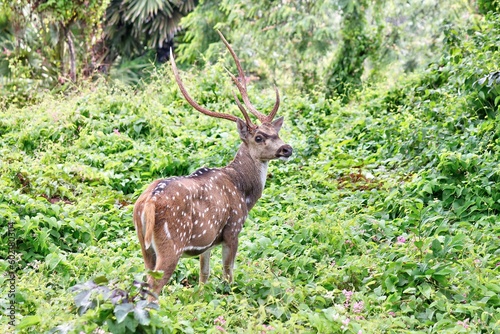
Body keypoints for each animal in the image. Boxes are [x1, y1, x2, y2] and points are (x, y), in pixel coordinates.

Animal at [133, 31, 292, 298]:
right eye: (259, 137)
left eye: (276, 132)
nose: (287, 149)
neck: (243, 190)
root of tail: (148, 203)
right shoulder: (232, 228)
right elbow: (228, 273)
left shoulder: (207, 240)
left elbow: (204, 276)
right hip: (171, 243)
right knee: (154, 288)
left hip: (144, 246)